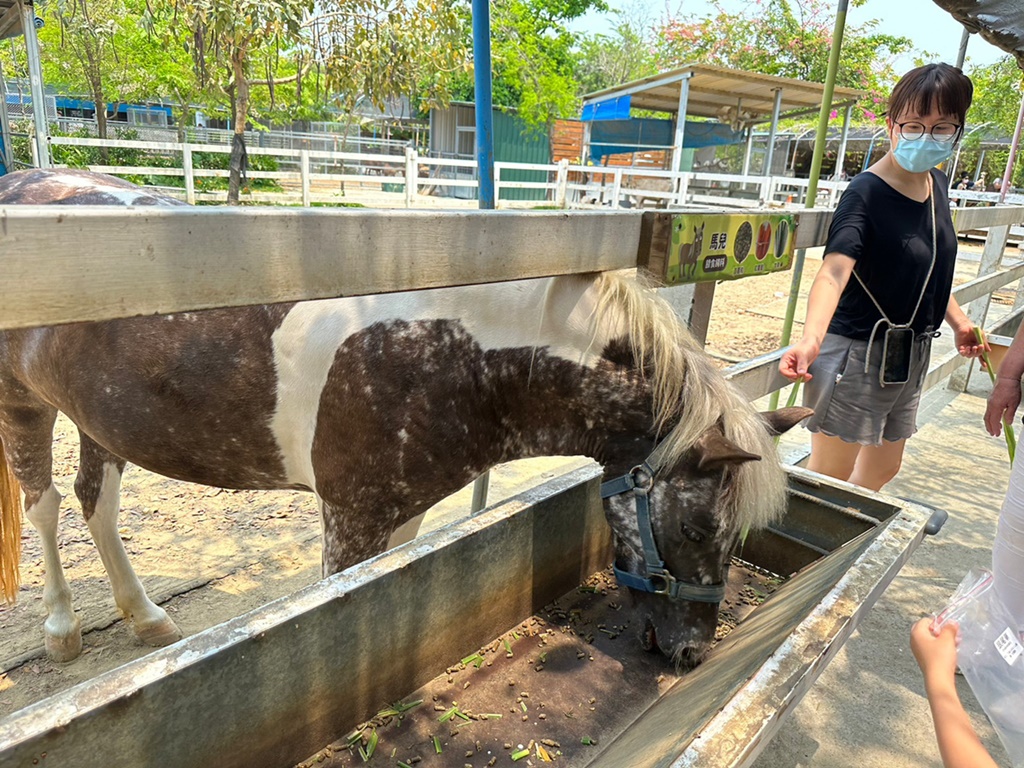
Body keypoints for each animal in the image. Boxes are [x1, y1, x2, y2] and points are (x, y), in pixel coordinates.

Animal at [0, 167, 811, 667]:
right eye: (696, 528)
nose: (691, 653)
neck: (453, 355)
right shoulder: (349, 525)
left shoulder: (402, 514)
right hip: (24, 405)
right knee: (45, 507)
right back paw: (63, 626)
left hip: (99, 418)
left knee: (97, 504)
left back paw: (144, 617)